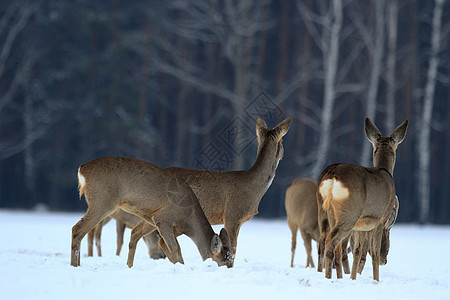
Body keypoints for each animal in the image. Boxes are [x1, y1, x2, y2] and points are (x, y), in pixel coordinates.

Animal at [71, 157, 232, 268]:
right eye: (223, 261)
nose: (229, 267)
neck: (189, 218)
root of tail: (81, 169)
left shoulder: (153, 218)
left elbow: (170, 246)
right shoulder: (163, 218)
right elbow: (174, 247)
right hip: (103, 202)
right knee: (77, 229)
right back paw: (75, 265)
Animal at [125, 117, 292, 268]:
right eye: (283, 142)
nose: (284, 153)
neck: (253, 188)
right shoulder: (232, 215)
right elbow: (233, 248)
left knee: (140, 233)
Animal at [316, 118, 408, 282]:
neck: (386, 172)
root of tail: (332, 177)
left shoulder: (361, 226)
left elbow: (358, 252)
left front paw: (353, 278)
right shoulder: (380, 219)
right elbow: (374, 254)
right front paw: (376, 280)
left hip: (325, 211)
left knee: (329, 244)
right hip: (349, 213)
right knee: (331, 242)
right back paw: (329, 278)